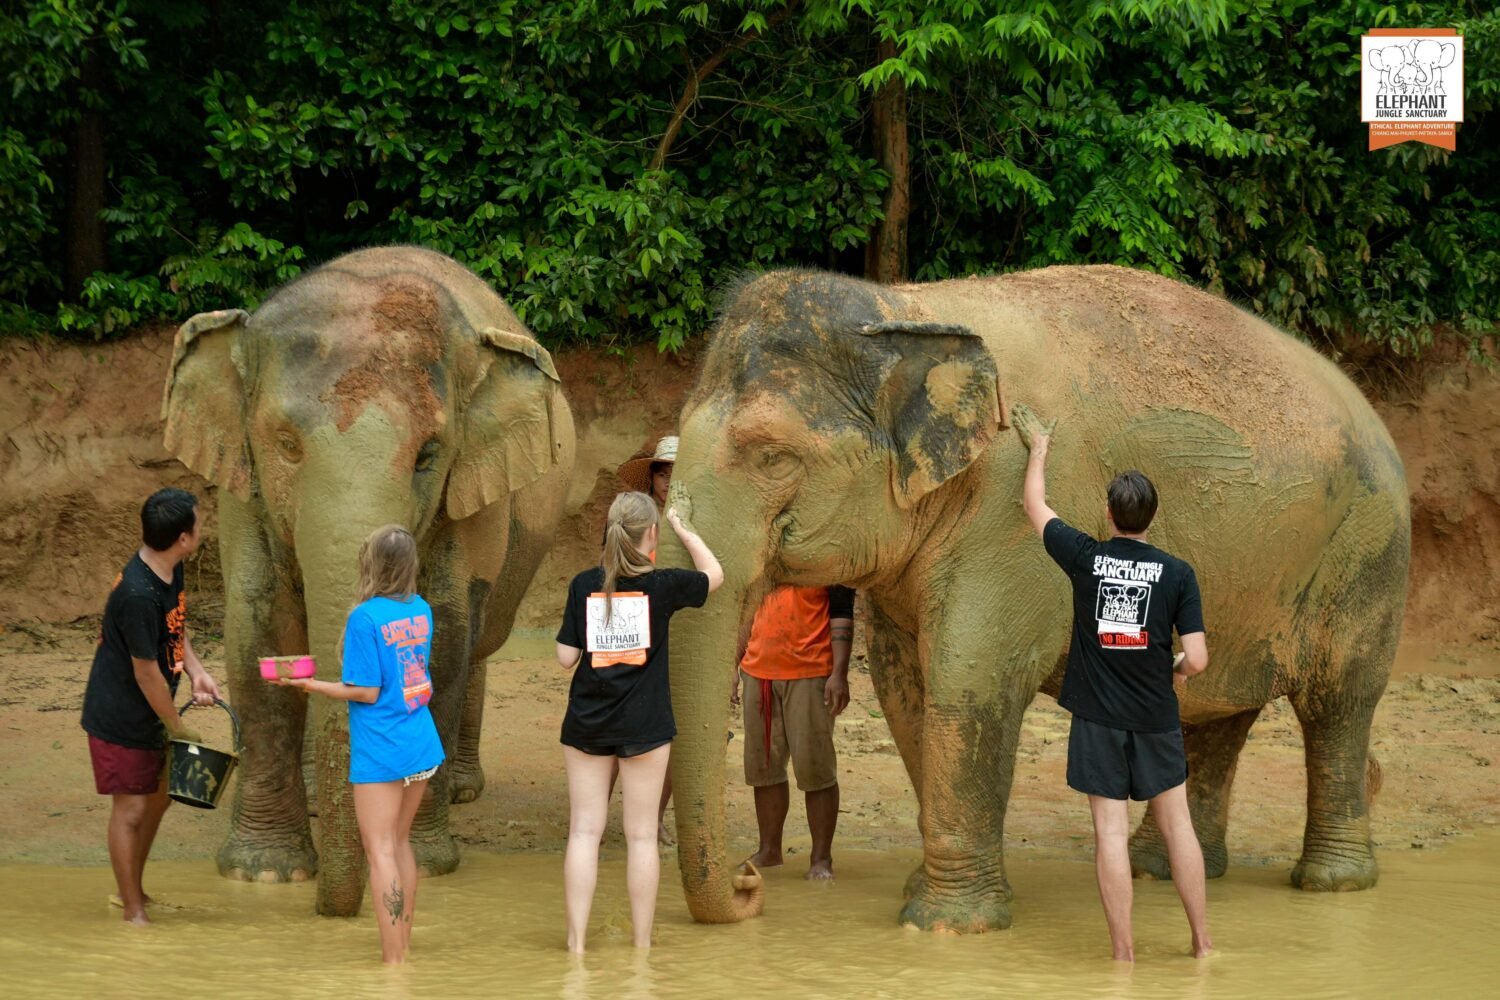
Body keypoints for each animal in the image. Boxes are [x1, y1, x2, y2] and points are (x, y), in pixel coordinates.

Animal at [162, 245, 573, 917]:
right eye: (284, 444)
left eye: (428, 455)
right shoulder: (242, 490)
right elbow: (259, 630)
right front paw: (264, 874)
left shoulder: (468, 494)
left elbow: (446, 637)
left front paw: (423, 864)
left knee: (479, 643)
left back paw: (461, 790)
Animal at [663, 263, 1410, 929]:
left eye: (773, 456)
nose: (750, 881)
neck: (905, 307)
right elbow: (908, 693)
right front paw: (924, 894)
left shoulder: (1007, 516)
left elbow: (968, 681)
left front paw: (945, 926)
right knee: (1215, 713)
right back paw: (1161, 870)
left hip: (1367, 553)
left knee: (1337, 703)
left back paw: (1331, 883)